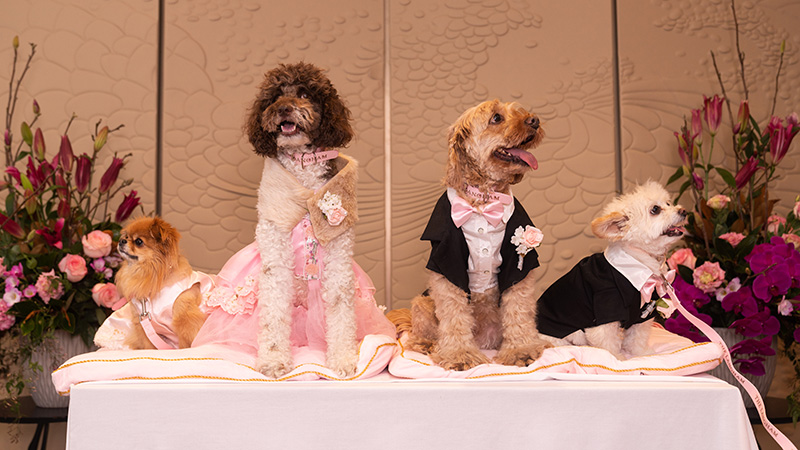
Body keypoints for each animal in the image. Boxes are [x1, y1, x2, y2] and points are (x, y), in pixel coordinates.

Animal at [536, 181, 684, 360]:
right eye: (655, 209)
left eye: (668, 203)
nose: (683, 211)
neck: (637, 261)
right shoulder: (604, 308)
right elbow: (607, 343)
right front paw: (616, 358)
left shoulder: (642, 315)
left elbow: (637, 338)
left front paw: (641, 353)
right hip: (558, 337)